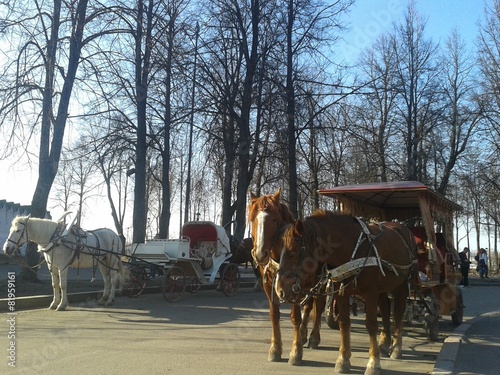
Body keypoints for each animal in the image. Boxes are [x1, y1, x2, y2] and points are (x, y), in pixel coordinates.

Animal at [248, 189, 326, 366]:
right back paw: (304, 334)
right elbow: (274, 315)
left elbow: (295, 317)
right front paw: (275, 349)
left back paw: (314, 337)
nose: (260, 253)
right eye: (252, 218)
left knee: (318, 306)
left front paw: (296, 352)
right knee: (309, 306)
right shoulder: (269, 285)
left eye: (273, 218)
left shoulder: (294, 286)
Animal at [274, 212, 418, 375]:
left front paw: (373, 363)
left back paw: (396, 347)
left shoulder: (371, 292)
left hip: (402, 284)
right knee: (386, 307)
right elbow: (344, 323)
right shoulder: (342, 292)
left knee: (399, 310)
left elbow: (371, 324)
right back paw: (384, 343)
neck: (352, 248)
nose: (280, 290)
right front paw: (343, 359)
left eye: (292, 253)